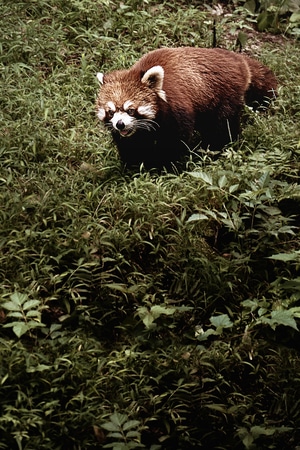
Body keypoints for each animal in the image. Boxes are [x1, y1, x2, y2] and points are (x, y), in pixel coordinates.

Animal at [95, 47, 276, 170]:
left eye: (130, 110)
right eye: (111, 112)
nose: (120, 124)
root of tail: (236, 59)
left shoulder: (177, 111)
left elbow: (175, 142)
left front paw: (165, 167)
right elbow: (131, 146)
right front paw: (133, 167)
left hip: (223, 96)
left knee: (222, 128)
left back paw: (217, 149)